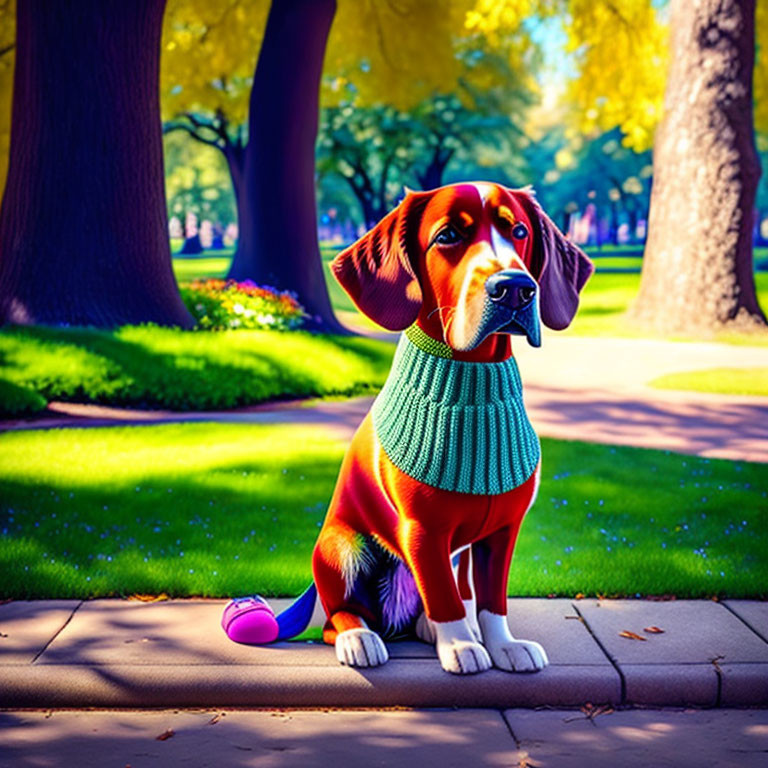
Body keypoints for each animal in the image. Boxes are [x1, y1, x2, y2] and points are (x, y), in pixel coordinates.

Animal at [222, 183, 592, 676]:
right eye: (448, 235)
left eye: (518, 231)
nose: (515, 288)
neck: (470, 383)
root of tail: (390, 621)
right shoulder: (423, 532)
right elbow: (443, 596)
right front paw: (461, 648)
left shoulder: (501, 531)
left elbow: (491, 601)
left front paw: (502, 644)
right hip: (338, 545)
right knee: (338, 616)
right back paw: (361, 639)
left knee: (439, 603)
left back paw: (429, 631)